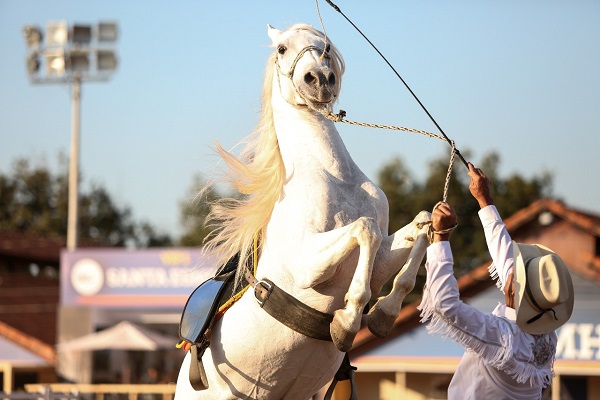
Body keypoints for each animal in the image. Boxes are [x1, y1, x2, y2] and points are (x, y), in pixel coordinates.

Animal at [176, 22, 434, 400]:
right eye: (282, 48)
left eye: (325, 45)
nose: (321, 78)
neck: (335, 175)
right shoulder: (305, 265)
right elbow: (366, 228)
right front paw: (347, 321)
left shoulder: (378, 263)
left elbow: (423, 226)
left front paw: (383, 314)